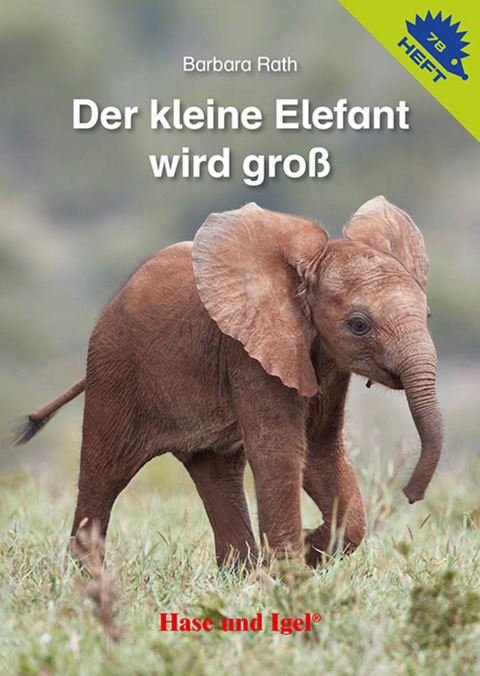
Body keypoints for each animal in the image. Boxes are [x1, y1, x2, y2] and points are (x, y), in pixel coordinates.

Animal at [14, 196, 443, 567]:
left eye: (428, 314)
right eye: (358, 325)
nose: (409, 495)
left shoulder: (325, 364)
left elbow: (321, 451)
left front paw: (305, 550)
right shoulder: (249, 352)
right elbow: (279, 449)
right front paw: (292, 570)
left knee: (216, 472)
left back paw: (242, 574)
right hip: (115, 368)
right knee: (104, 471)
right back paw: (90, 580)